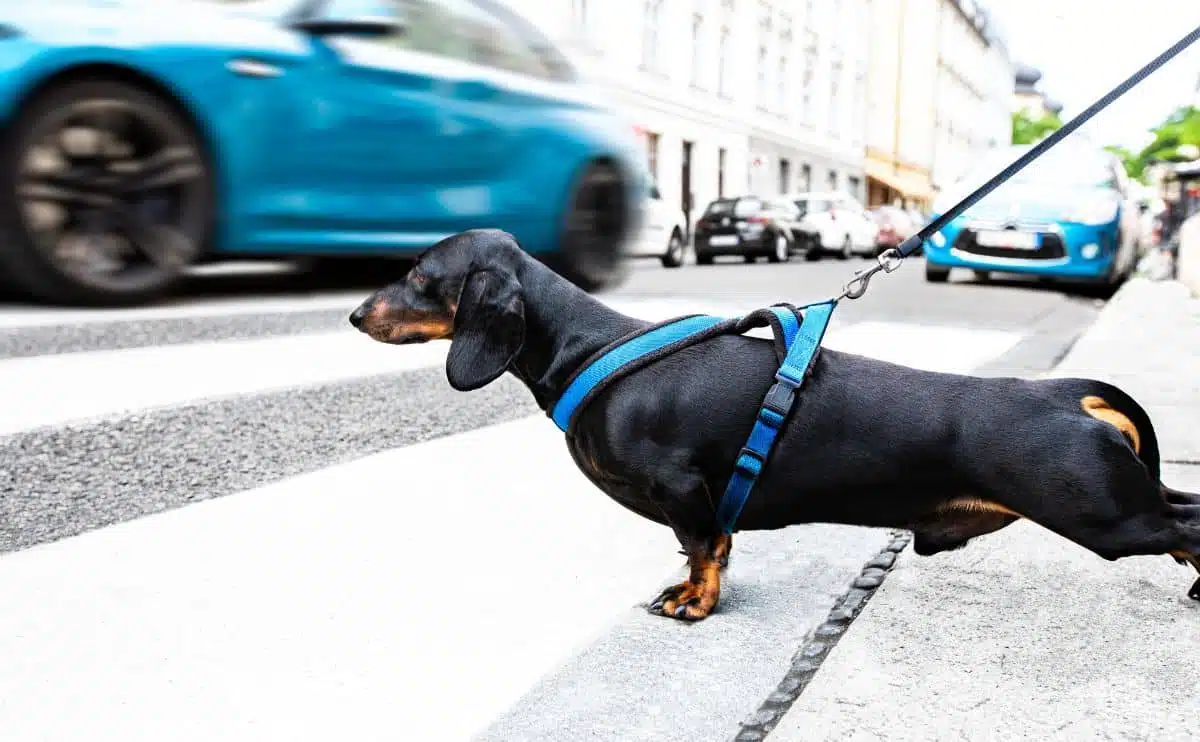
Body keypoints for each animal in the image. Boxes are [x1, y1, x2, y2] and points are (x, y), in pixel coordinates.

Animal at [348, 226, 1200, 619]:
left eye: (420, 276)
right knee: (1187, 512)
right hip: (1126, 501)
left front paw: (694, 604)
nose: (354, 315)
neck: (594, 344)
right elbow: (708, 549)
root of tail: (1065, 392)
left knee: (1187, 528)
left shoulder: (682, 488)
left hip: (1104, 516)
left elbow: (704, 551)